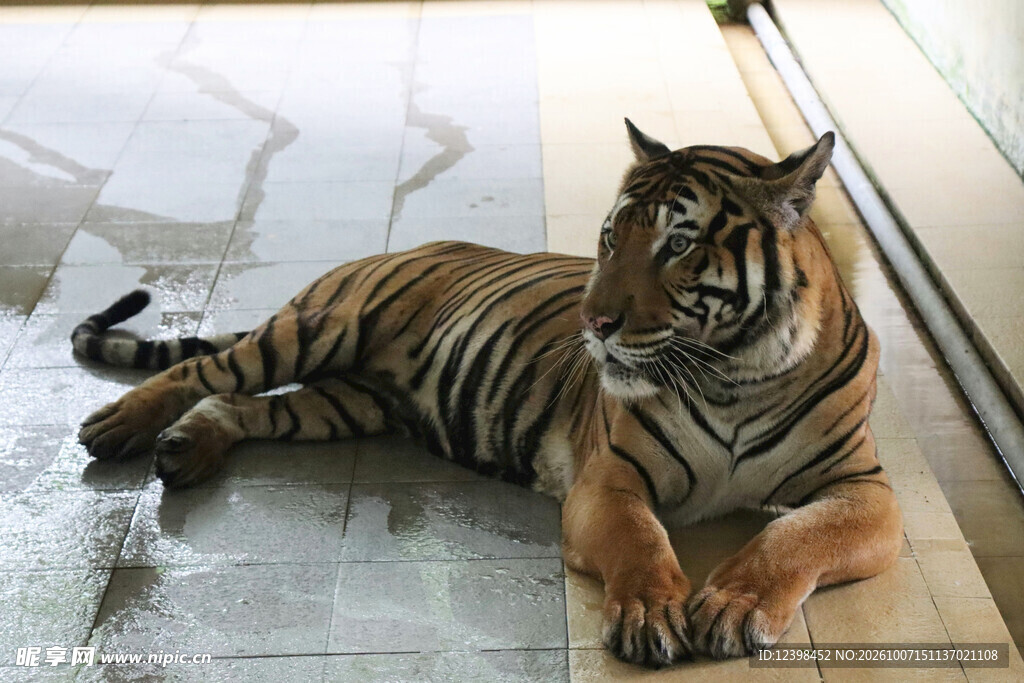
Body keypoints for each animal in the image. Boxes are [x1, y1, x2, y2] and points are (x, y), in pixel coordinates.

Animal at [74, 120, 902, 668]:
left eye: (679, 244)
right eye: (610, 236)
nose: (594, 322)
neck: (734, 374)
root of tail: (406, 245)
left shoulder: (865, 488)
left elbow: (797, 535)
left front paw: (735, 601)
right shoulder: (611, 478)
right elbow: (640, 538)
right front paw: (649, 611)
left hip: (344, 402)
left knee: (243, 405)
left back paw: (187, 447)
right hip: (318, 329)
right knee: (202, 371)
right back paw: (118, 424)